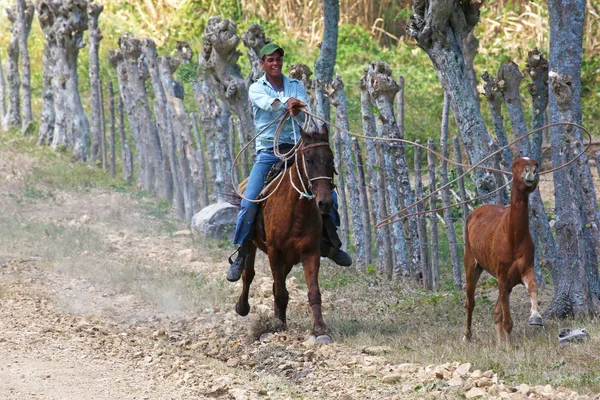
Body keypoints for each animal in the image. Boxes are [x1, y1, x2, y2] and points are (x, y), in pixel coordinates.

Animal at [234, 120, 336, 342]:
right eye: (309, 159)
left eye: (331, 159)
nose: (325, 203)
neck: (295, 210)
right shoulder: (275, 252)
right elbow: (280, 291)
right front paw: (278, 325)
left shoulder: (310, 252)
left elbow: (313, 292)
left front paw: (319, 330)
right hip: (253, 246)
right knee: (248, 274)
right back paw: (242, 306)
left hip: (289, 259)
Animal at [462, 157, 540, 346]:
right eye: (515, 165)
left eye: (536, 165)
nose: (531, 172)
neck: (513, 238)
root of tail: (475, 212)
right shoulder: (503, 276)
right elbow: (507, 320)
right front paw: (509, 347)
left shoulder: (524, 270)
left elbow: (533, 288)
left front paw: (535, 317)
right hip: (472, 265)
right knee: (470, 301)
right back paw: (467, 336)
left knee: (496, 311)